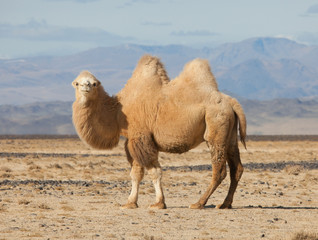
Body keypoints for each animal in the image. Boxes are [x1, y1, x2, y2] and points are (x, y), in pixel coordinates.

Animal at [71, 55, 246, 209]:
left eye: (94, 83)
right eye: (77, 83)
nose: (86, 86)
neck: (118, 112)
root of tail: (231, 102)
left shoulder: (141, 137)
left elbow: (152, 172)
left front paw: (157, 203)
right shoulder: (133, 141)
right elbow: (136, 173)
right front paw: (131, 203)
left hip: (216, 127)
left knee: (220, 170)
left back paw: (199, 203)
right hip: (230, 135)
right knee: (237, 168)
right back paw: (225, 204)